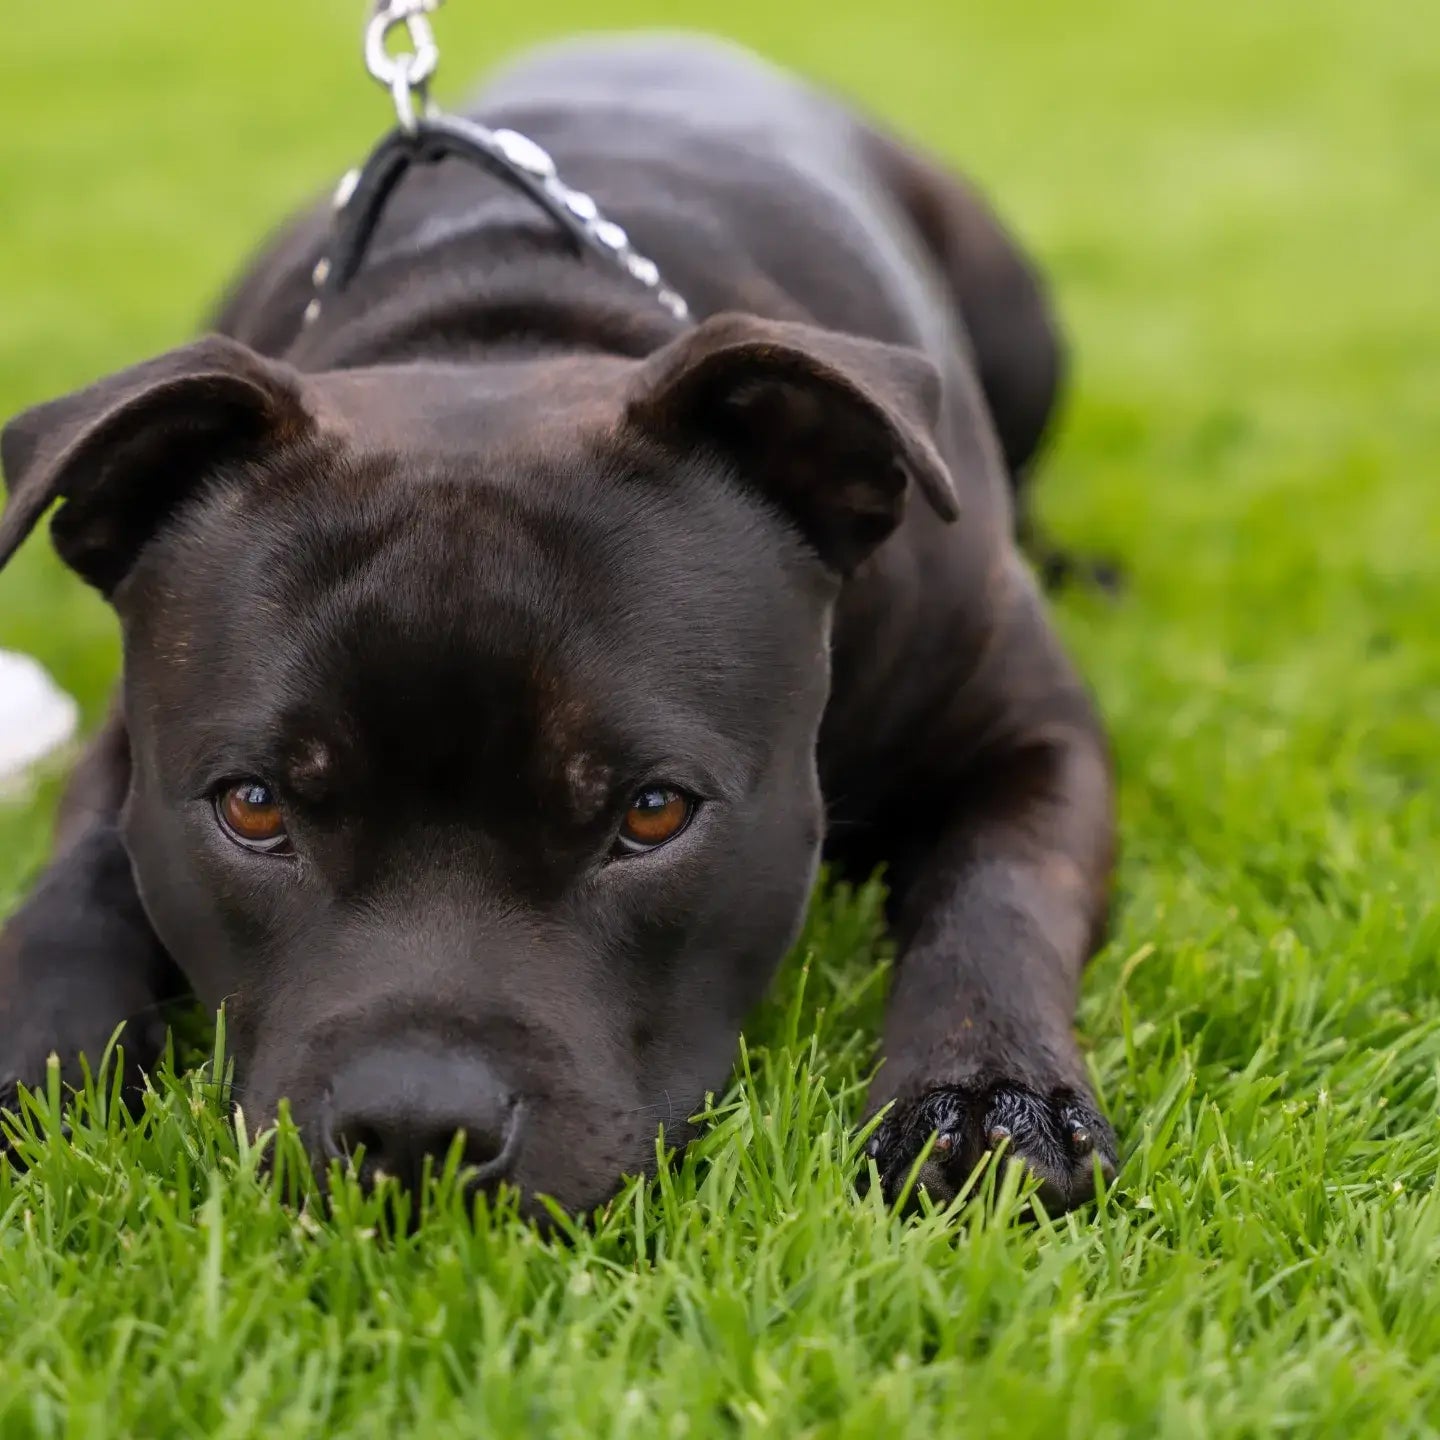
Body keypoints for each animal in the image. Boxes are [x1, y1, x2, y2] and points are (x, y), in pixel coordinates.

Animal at [0, 36, 1111, 1215]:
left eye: (655, 813)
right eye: (252, 807)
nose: (418, 1126)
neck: (498, 324)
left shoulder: (1027, 727)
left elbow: (997, 893)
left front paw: (988, 1094)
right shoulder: (130, 748)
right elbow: (73, 890)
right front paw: (28, 1053)